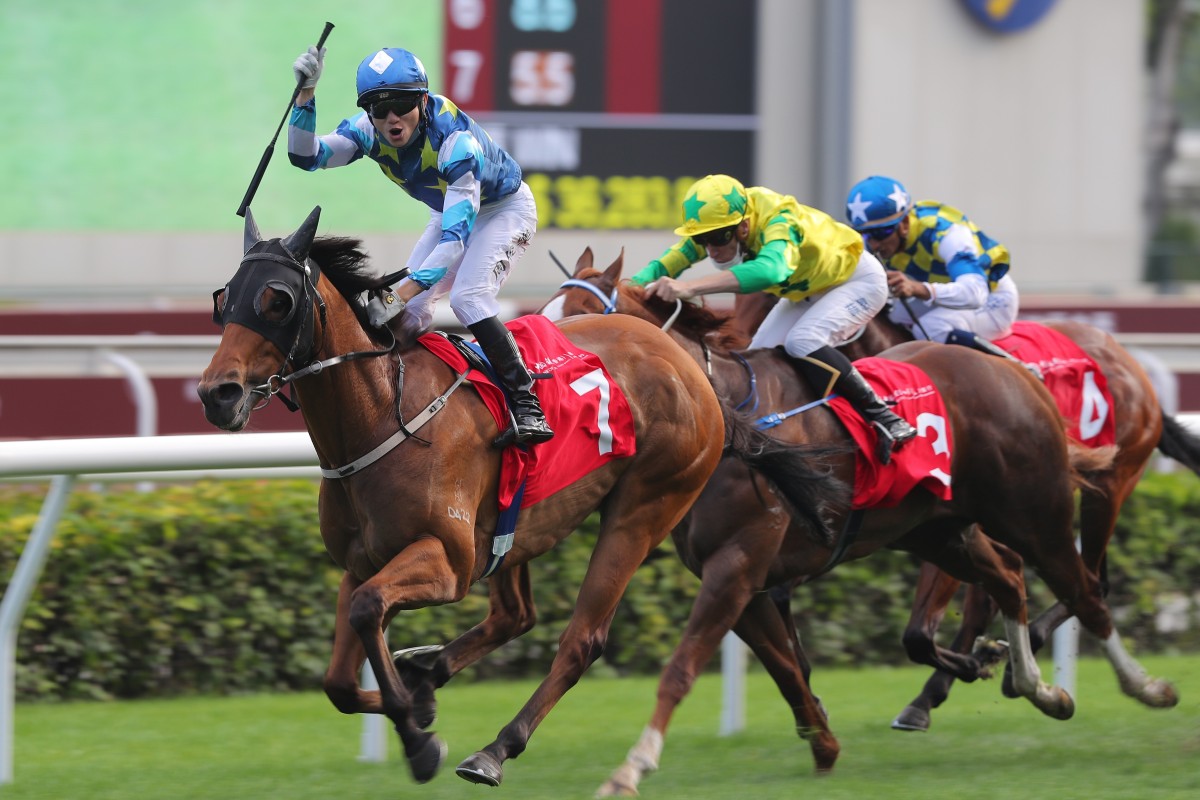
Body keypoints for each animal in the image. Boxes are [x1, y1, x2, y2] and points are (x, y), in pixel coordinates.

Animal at [194, 208, 844, 786]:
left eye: (278, 299)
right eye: (225, 300)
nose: (217, 394)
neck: (384, 413)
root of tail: (693, 371)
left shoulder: (447, 563)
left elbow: (368, 610)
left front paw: (420, 738)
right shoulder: (361, 562)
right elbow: (339, 678)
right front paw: (419, 705)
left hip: (646, 506)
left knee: (581, 640)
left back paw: (496, 749)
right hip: (521, 521)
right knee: (515, 614)